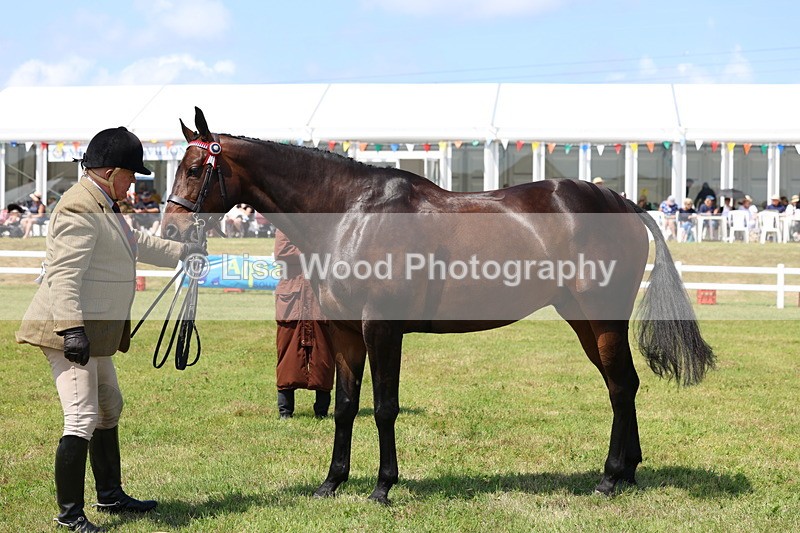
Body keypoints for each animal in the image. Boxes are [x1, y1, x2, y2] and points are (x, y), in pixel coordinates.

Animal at [161, 107, 714, 503]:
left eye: (195, 168)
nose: (169, 228)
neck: (351, 213)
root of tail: (623, 202)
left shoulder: (381, 329)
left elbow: (385, 407)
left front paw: (383, 486)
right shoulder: (343, 331)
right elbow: (345, 406)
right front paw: (331, 483)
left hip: (601, 317)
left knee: (620, 386)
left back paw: (609, 477)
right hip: (582, 320)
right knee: (624, 384)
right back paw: (629, 472)